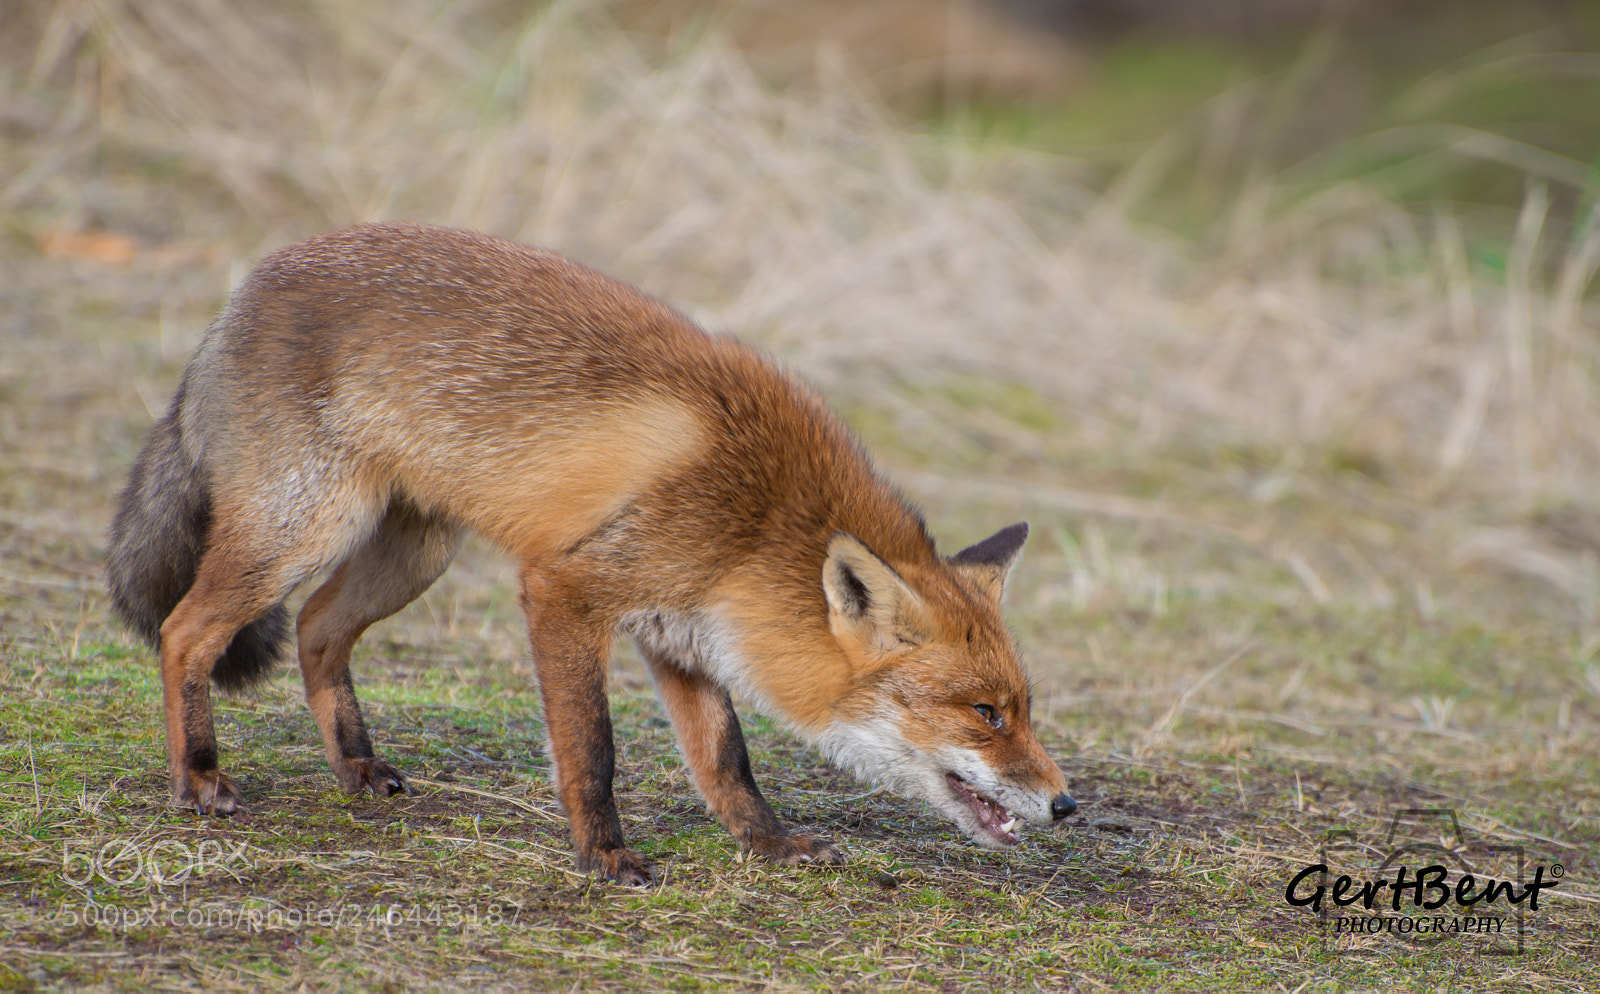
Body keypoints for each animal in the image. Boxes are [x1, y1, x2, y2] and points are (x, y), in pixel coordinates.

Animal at [107, 222, 1076, 885]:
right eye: (986, 714)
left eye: (1023, 709)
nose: (1066, 803)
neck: (759, 521)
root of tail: (249, 283)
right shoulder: (567, 591)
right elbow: (594, 750)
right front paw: (605, 855)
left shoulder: (681, 635)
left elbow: (726, 759)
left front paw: (765, 842)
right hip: (303, 527)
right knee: (187, 631)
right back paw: (198, 780)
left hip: (415, 551)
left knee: (314, 628)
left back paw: (354, 766)